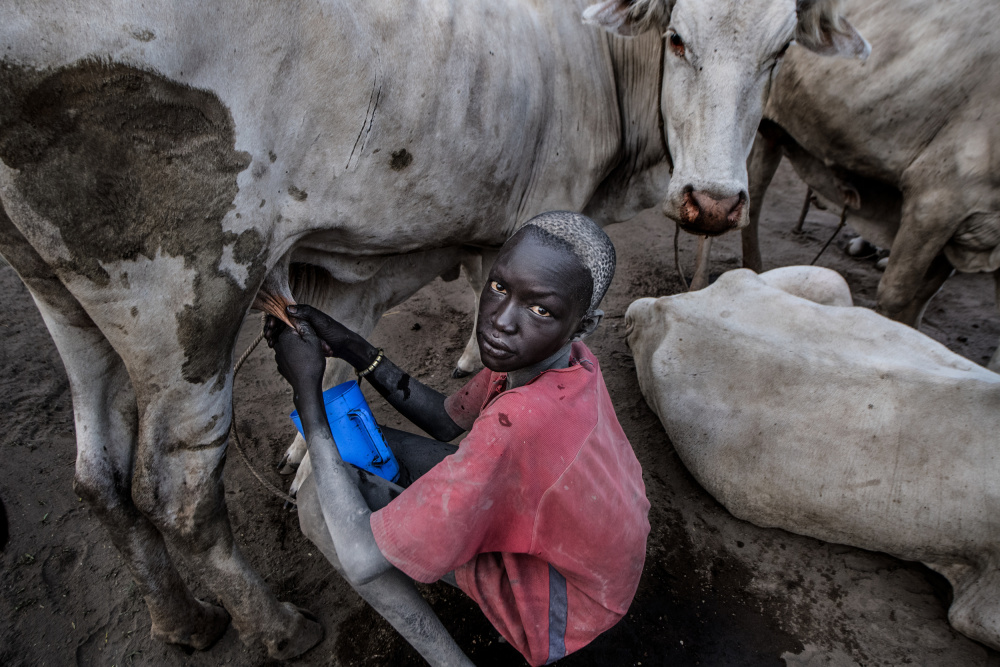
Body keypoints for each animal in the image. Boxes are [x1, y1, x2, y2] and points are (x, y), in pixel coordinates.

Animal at [0, 0, 867, 659]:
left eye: (780, 51)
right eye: (679, 37)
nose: (715, 201)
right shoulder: (544, 200)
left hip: (61, 290)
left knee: (99, 473)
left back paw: (184, 619)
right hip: (187, 295)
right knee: (176, 491)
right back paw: (275, 627)